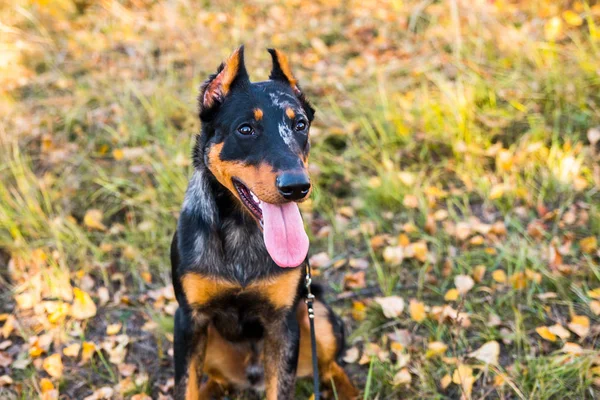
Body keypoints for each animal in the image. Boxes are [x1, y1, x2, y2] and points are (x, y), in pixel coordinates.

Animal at [170, 47, 356, 400]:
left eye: (300, 124)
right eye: (245, 129)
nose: (297, 187)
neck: (243, 232)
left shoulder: (282, 325)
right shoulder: (189, 320)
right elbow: (186, 387)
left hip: (318, 316)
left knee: (329, 366)